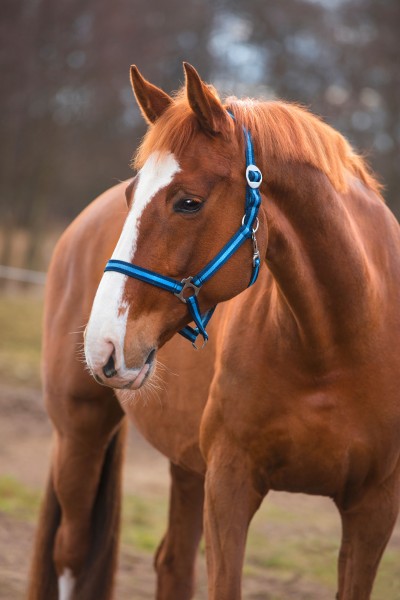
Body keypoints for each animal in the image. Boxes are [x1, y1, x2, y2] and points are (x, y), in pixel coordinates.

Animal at [28, 62, 400, 600]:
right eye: (131, 195)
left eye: (188, 202)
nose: (103, 344)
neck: (335, 346)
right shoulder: (229, 486)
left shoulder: (374, 509)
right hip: (80, 431)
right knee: (70, 556)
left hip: (185, 465)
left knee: (172, 563)